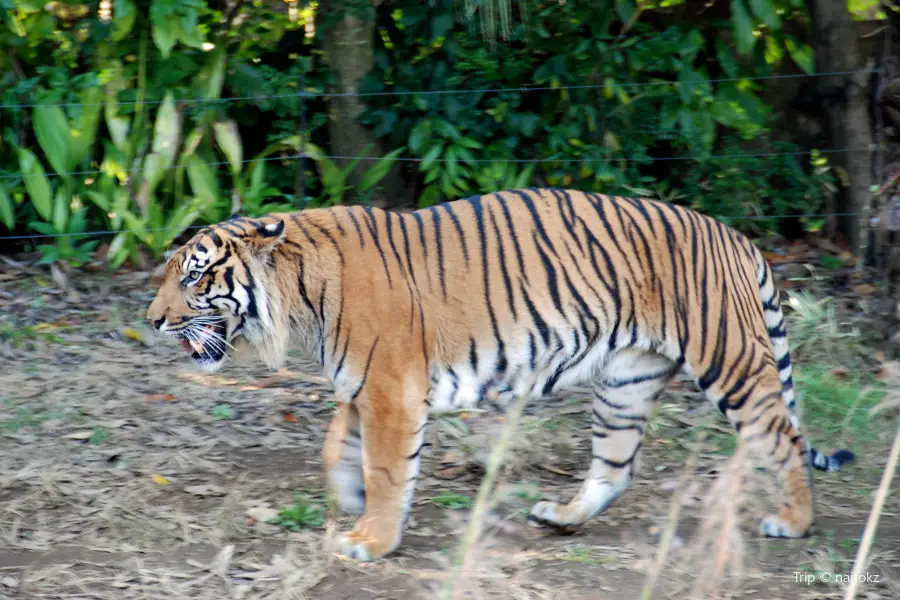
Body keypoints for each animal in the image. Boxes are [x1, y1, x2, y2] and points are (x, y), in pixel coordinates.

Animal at [144, 188, 856, 564]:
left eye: (194, 277)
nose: (150, 320)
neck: (299, 294)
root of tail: (736, 237)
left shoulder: (390, 389)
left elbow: (386, 467)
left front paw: (371, 538)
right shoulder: (361, 384)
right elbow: (336, 448)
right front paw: (348, 500)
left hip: (729, 361)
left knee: (784, 439)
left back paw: (793, 522)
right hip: (624, 383)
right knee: (615, 466)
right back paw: (561, 516)